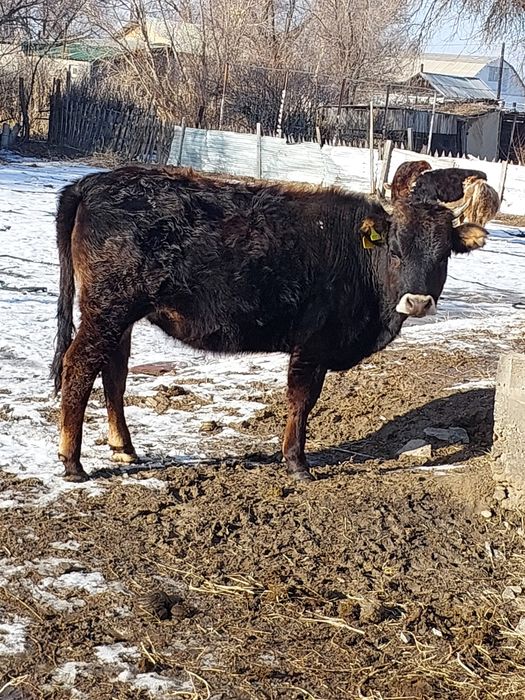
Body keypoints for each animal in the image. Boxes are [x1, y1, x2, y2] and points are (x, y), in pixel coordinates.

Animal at [51, 166, 488, 483]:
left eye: (444, 255)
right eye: (396, 250)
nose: (418, 302)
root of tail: (92, 182)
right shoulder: (311, 344)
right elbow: (301, 400)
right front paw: (297, 463)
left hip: (118, 315)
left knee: (114, 371)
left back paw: (124, 448)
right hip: (108, 309)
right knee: (80, 366)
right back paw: (73, 464)